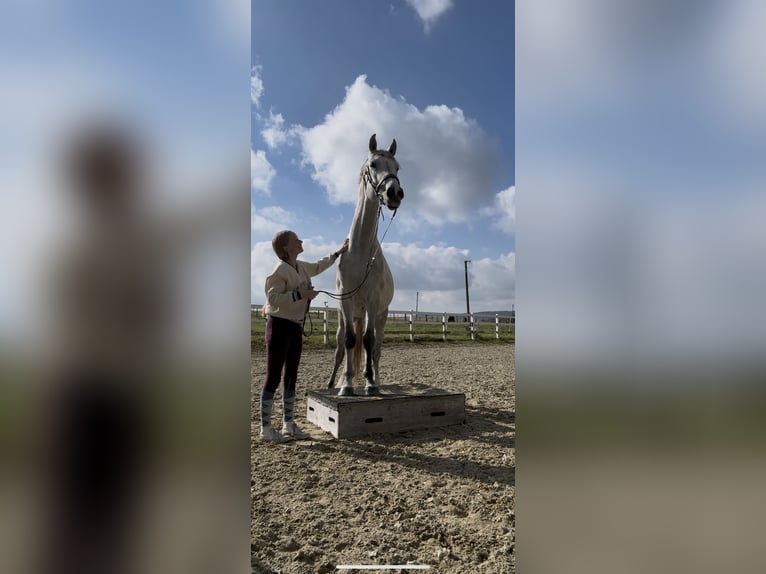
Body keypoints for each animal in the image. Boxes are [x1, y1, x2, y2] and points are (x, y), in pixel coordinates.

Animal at [327, 134, 404, 396]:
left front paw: (370, 384)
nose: (395, 193)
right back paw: (333, 382)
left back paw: (377, 380)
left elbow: (369, 342)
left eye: (397, 167)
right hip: (348, 316)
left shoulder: (372, 300)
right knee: (342, 346)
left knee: (376, 348)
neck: (359, 252)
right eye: (373, 164)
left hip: (380, 315)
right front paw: (347, 384)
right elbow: (350, 341)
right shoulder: (346, 300)